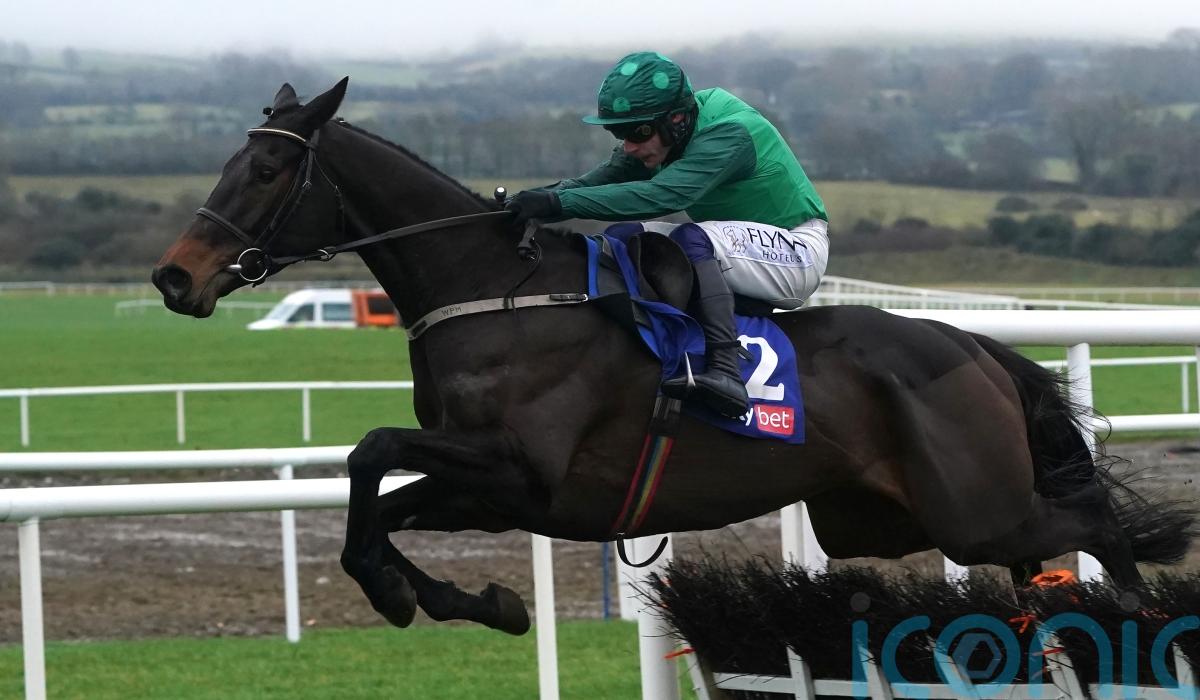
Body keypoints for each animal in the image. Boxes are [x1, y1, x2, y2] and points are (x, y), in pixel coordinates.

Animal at [152, 78, 1196, 635]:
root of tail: (973, 347)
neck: (496, 289)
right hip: (886, 517)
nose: (174, 276)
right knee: (1044, 553)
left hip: (973, 507)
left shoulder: (521, 468)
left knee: (1095, 523)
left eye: (269, 169)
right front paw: (464, 598)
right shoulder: (496, 490)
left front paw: (424, 593)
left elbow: (370, 452)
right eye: (231, 161)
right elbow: (376, 509)